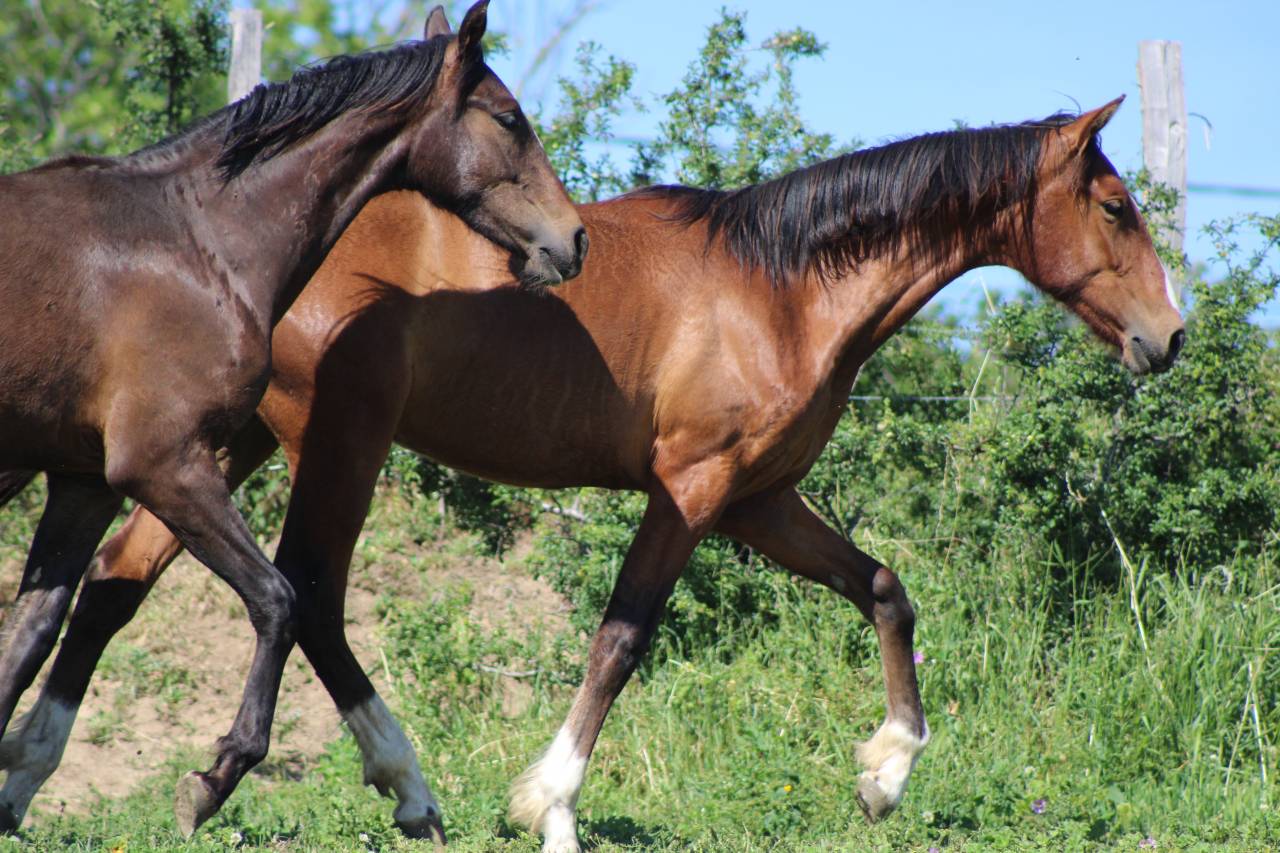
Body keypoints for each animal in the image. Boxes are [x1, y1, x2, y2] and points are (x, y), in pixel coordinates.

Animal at [0, 2, 585, 839]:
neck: (197, 243)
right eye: (509, 116)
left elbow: (28, 637)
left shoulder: (85, 483)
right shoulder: (165, 464)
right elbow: (281, 598)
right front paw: (211, 779)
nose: (572, 240)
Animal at [0, 99, 1182, 850]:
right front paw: (548, 806)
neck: (780, 289)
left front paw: (886, 772)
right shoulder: (692, 491)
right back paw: (385, 785)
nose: (1169, 337)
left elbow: (886, 589)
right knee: (310, 597)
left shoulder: (759, 500)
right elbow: (621, 640)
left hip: (220, 444)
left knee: (114, 585)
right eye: (1114, 207)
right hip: (333, 443)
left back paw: (32, 771)